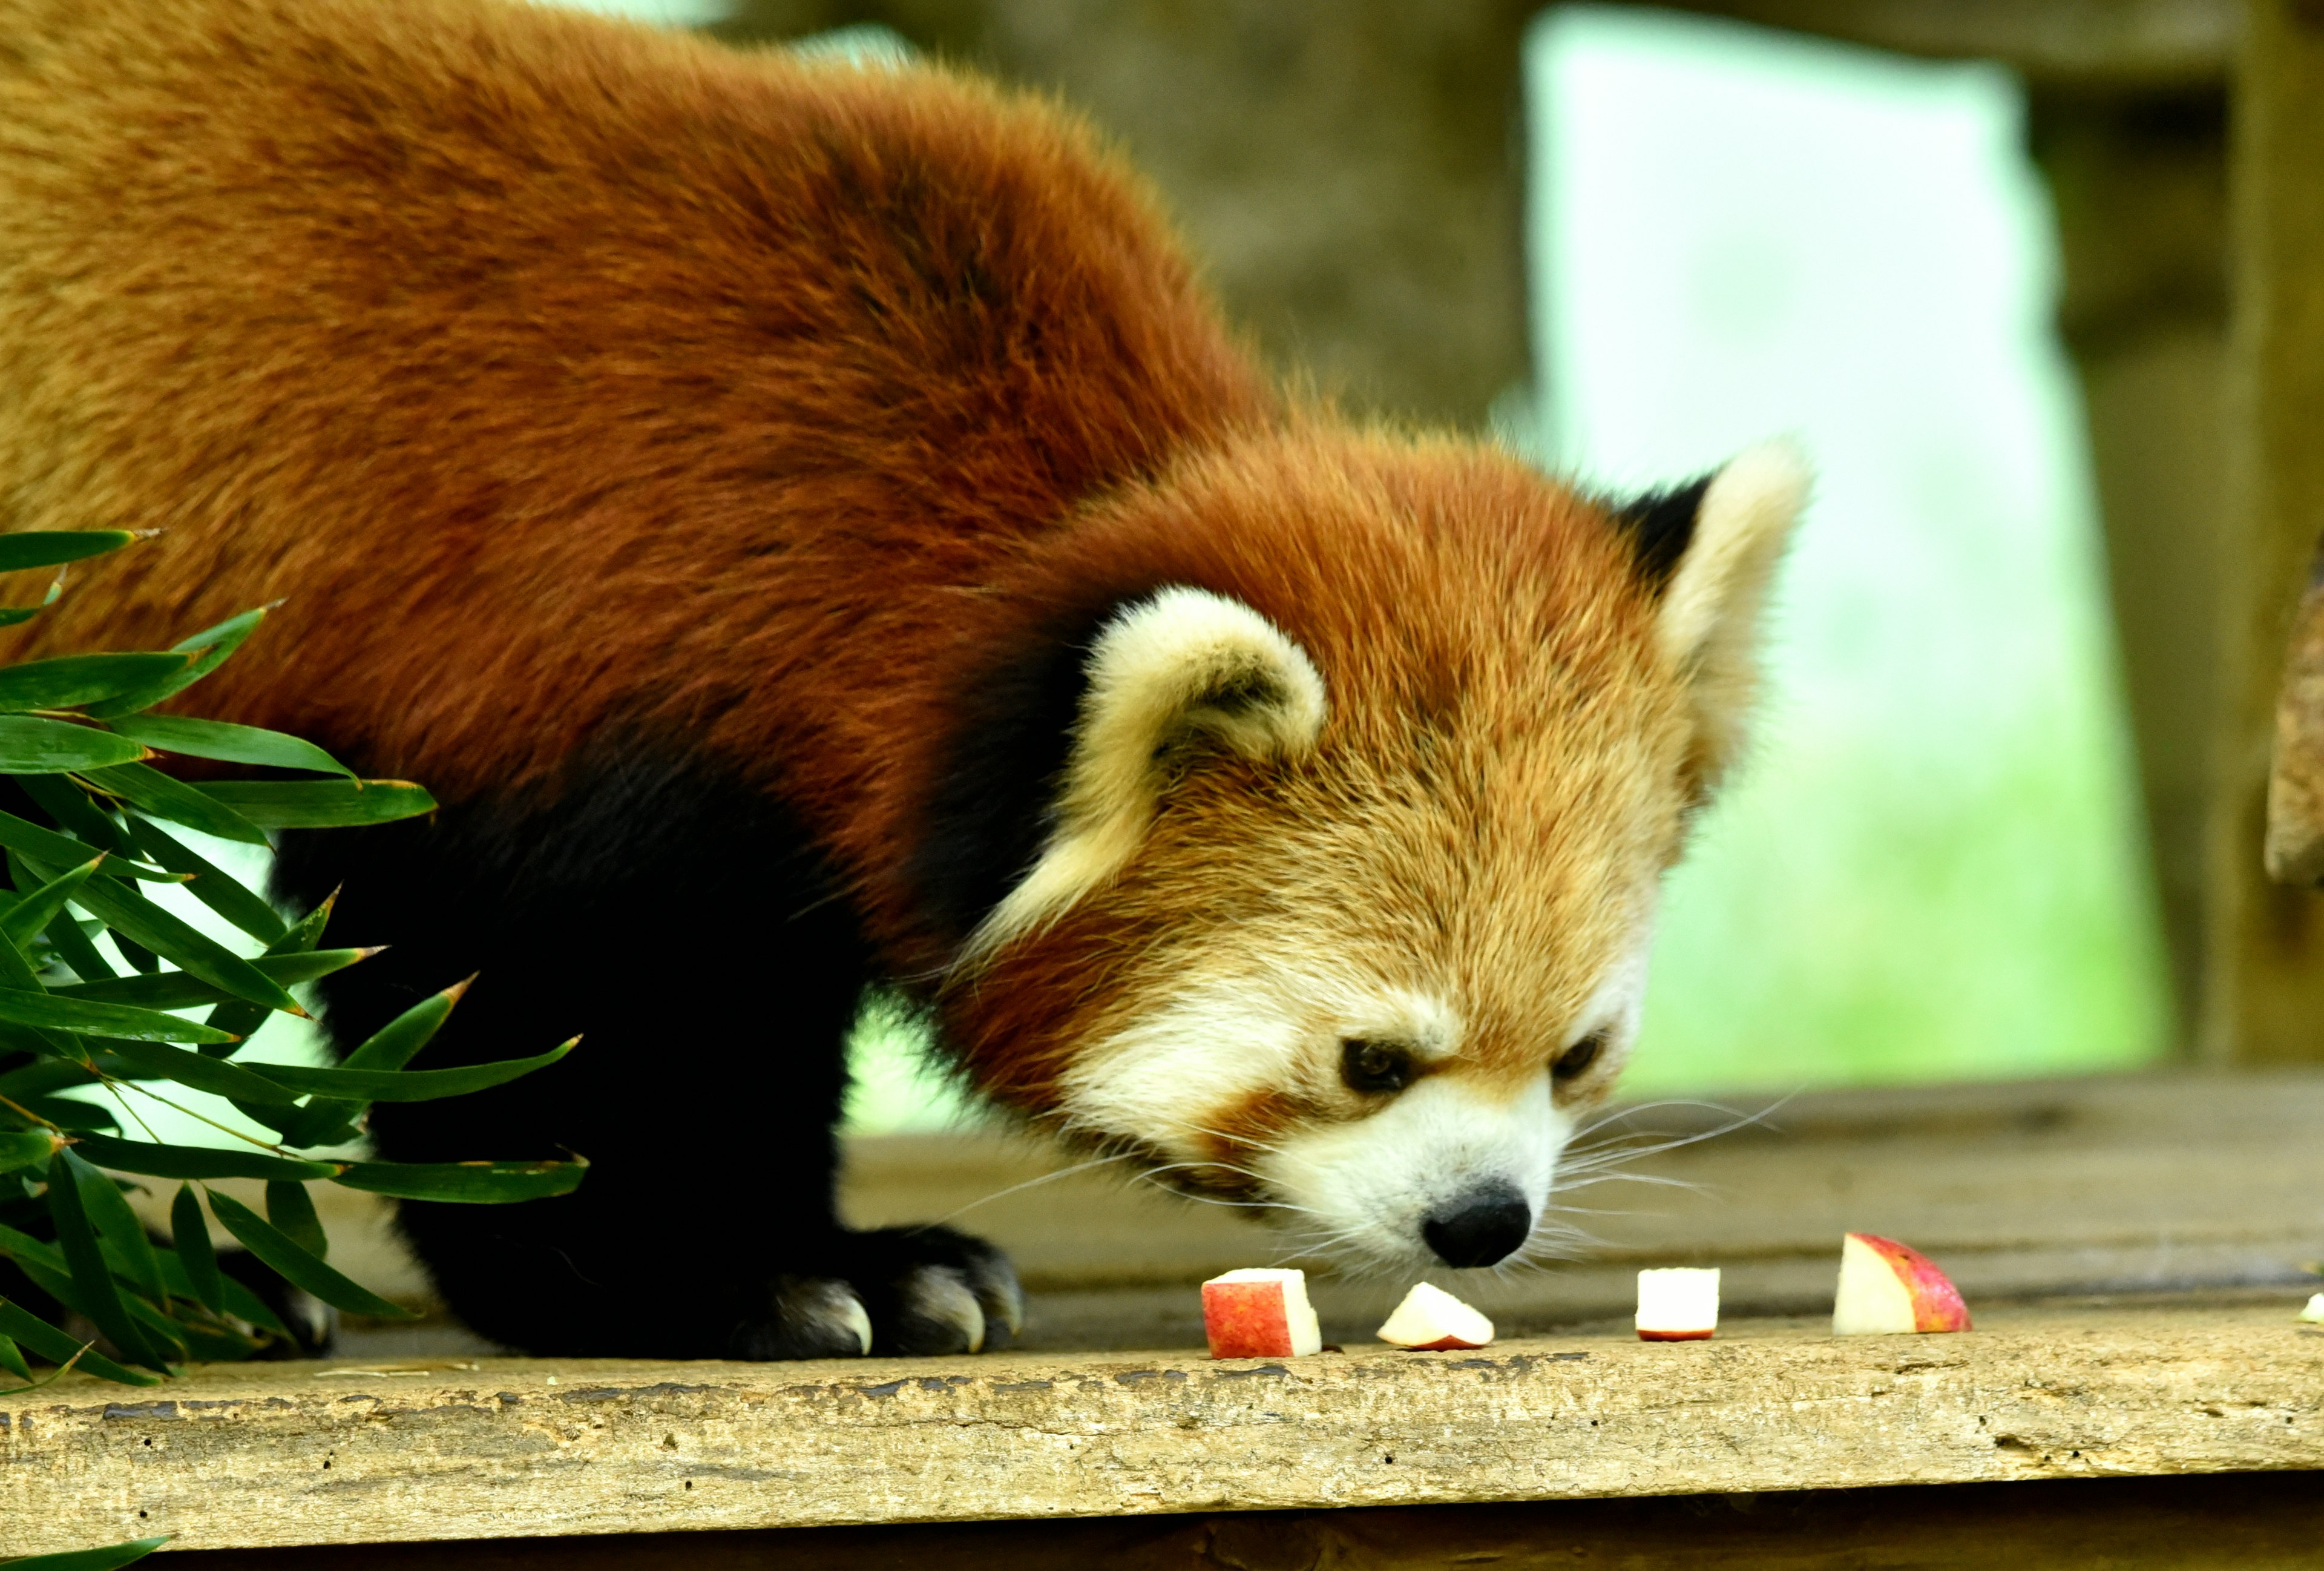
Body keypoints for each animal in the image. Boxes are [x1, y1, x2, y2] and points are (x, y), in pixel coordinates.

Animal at [0, 0, 1794, 1357]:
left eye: (1577, 1054)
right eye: (1371, 1057)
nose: (1480, 1218)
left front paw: (853, 1253)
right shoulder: (554, 661)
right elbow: (522, 1027)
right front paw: (701, 1283)